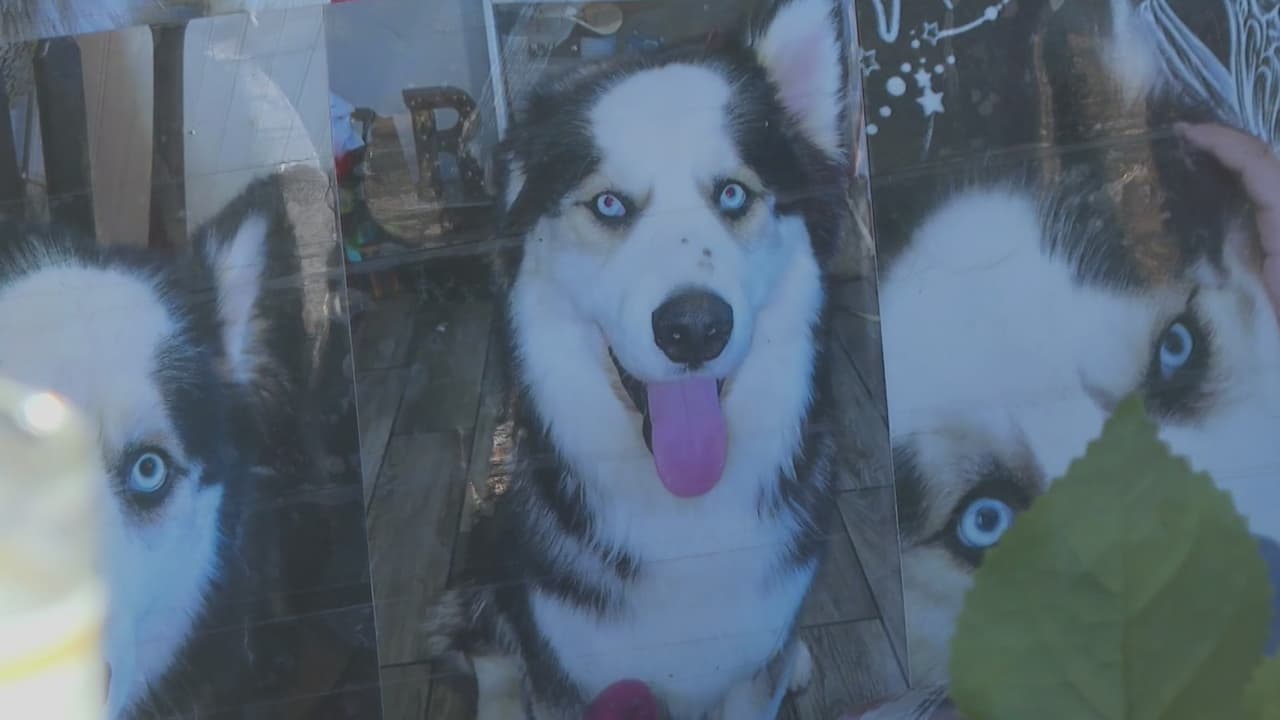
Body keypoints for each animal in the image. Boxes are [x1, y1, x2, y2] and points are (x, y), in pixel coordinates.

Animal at [424, 0, 854, 717]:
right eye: (609, 204)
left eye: (733, 195)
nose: (695, 329)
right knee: (488, 644)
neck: (684, 518)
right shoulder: (568, 676)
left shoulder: (750, 674)